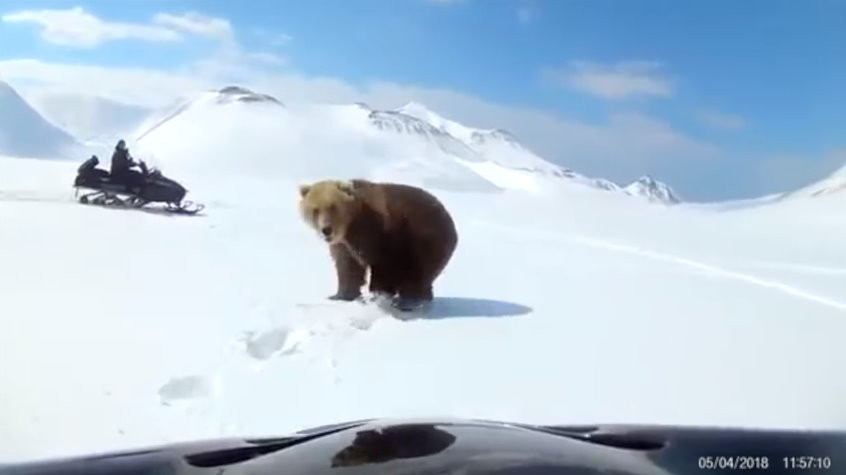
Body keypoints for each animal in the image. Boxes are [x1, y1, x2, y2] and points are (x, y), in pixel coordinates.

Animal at [296, 180, 458, 310]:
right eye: (315, 209)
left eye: (333, 207)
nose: (326, 229)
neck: (349, 225)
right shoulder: (343, 245)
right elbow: (347, 267)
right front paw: (340, 296)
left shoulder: (379, 233)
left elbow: (382, 266)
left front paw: (378, 297)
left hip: (423, 238)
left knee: (416, 272)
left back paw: (408, 302)